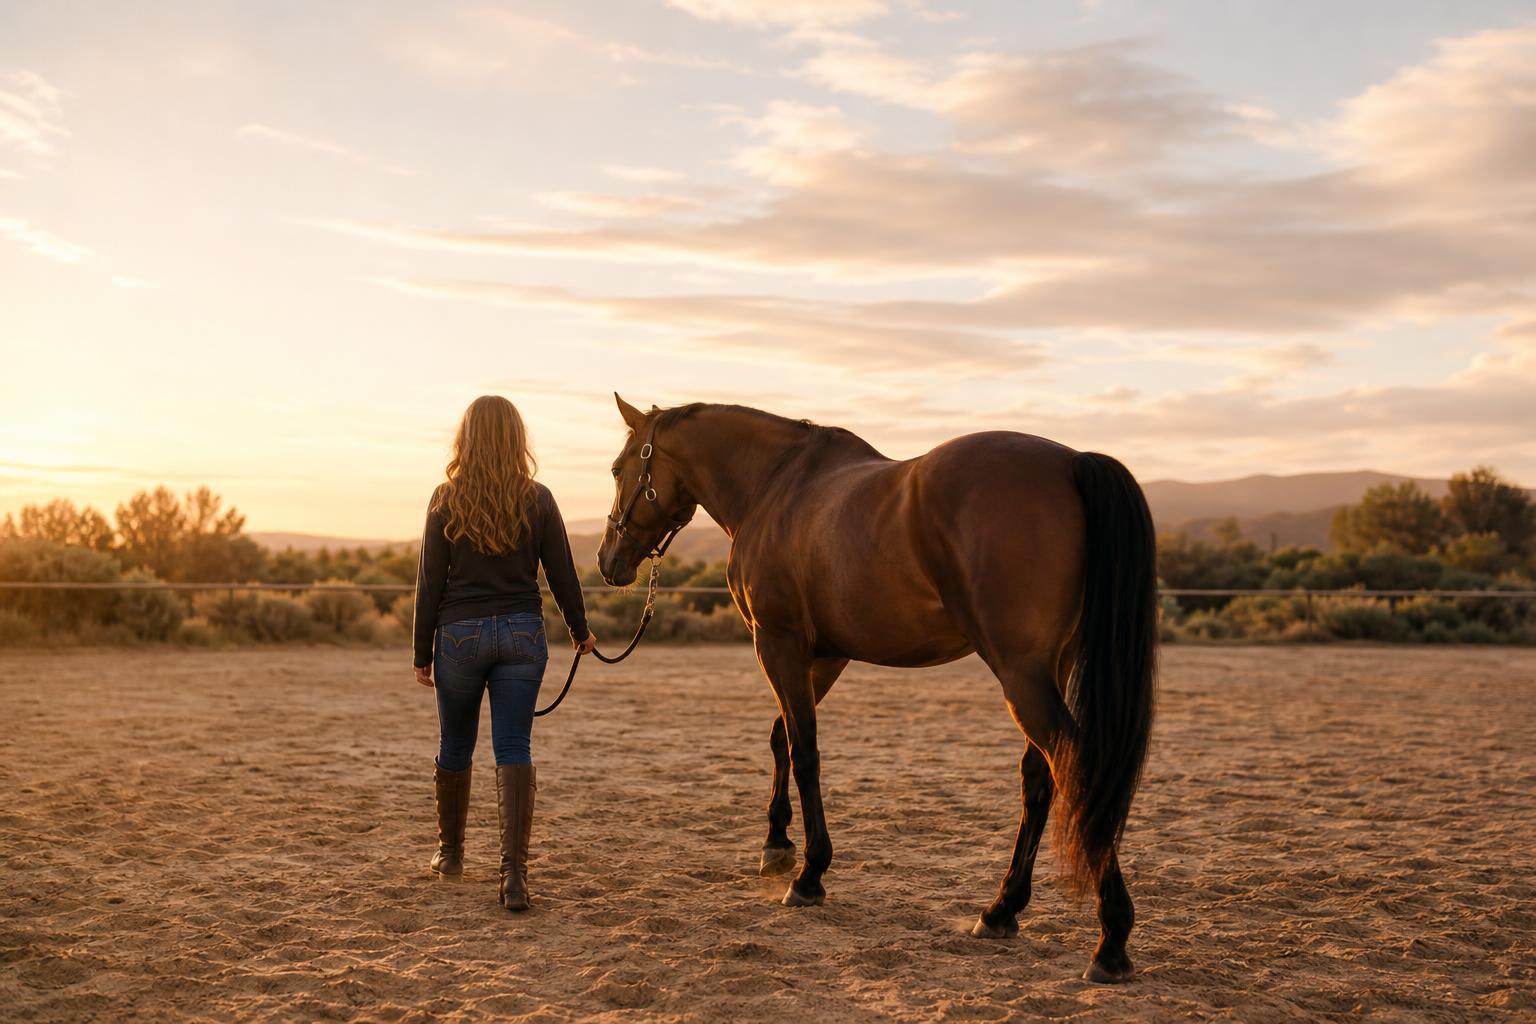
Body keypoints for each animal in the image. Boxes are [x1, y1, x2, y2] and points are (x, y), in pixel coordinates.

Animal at [596, 396, 1157, 984]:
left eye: (617, 469)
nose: (607, 561)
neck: (775, 485)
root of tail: (1072, 462)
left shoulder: (777, 644)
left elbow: (805, 752)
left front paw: (809, 876)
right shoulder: (825, 655)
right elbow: (781, 738)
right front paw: (777, 844)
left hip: (1021, 674)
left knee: (1077, 765)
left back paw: (1111, 941)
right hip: (1049, 670)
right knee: (1041, 777)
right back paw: (1001, 910)